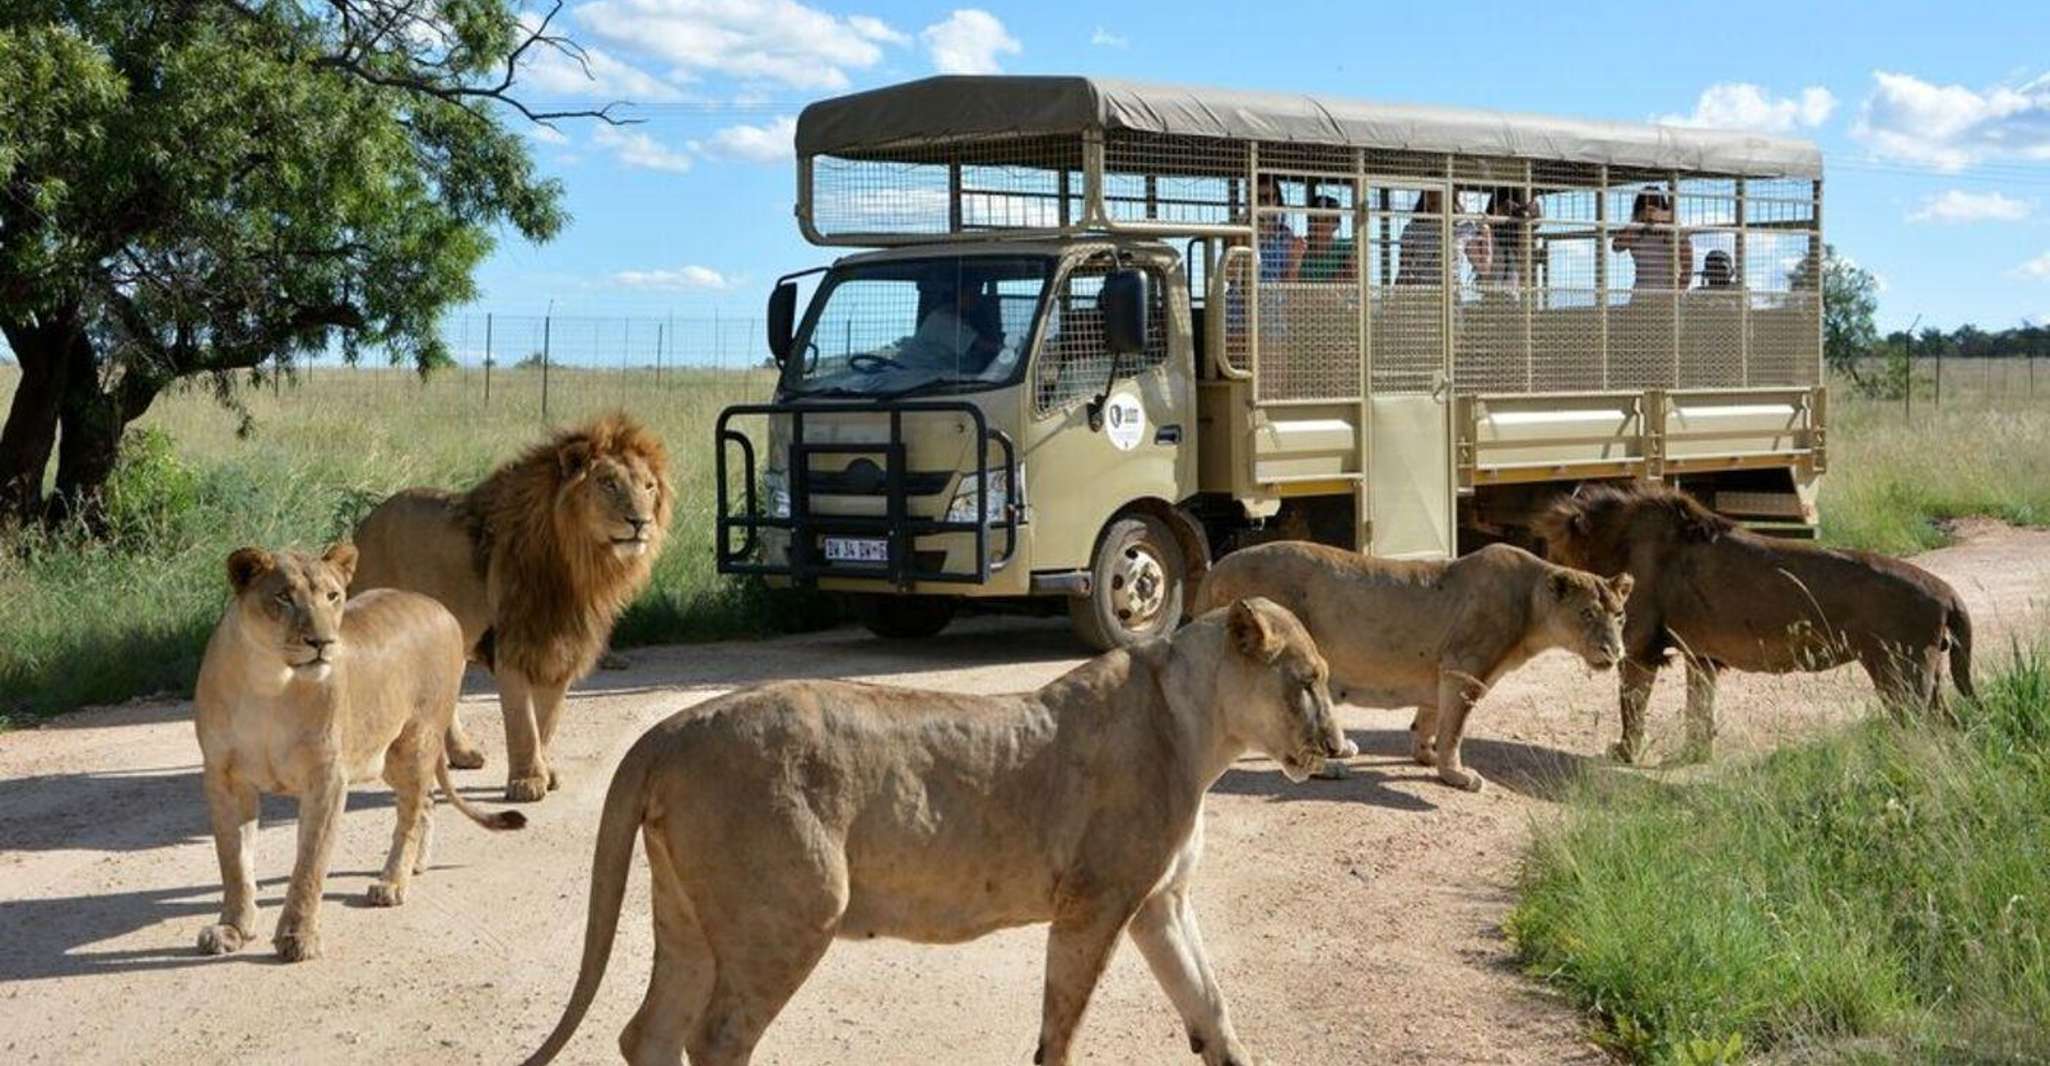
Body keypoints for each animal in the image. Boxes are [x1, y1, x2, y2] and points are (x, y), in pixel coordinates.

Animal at [350, 414, 672, 799]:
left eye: (649, 487)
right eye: (608, 483)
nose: (641, 522)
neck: (578, 566)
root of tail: (365, 523)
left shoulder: (562, 646)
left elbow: (547, 721)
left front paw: (545, 772)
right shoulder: (511, 644)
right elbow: (523, 722)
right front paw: (527, 781)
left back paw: (462, 754)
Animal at [516, 598, 1344, 1066]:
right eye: (1308, 682)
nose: (1340, 747)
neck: (1199, 726)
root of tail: (668, 730)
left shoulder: (1159, 903)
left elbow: (1211, 1007)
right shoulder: (1096, 902)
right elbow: (1061, 1029)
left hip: (688, 916)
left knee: (649, 1035)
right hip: (791, 912)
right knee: (715, 1040)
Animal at [1197, 541, 1623, 791]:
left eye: (1619, 615)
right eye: (1587, 614)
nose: (1616, 651)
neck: (1532, 603)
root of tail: (1214, 569)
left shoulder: (1441, 671)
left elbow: (1431, 719)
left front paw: (1426, 756)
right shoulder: (1464, 669)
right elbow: (1455, 729)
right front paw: (1456, 774)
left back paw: (1344, 749)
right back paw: (1331, 768)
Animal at [1541, 479, 1976, 762]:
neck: (1614, 539)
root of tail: (1947, 592)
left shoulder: (1639, 650)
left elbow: (1631, 707)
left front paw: (1625, 754)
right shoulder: (1701, 655)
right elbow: (1699, 709)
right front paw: (1694, 754)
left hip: (1900, 675)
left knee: (1920, 729)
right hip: (1926, 676)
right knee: (1951, 724)